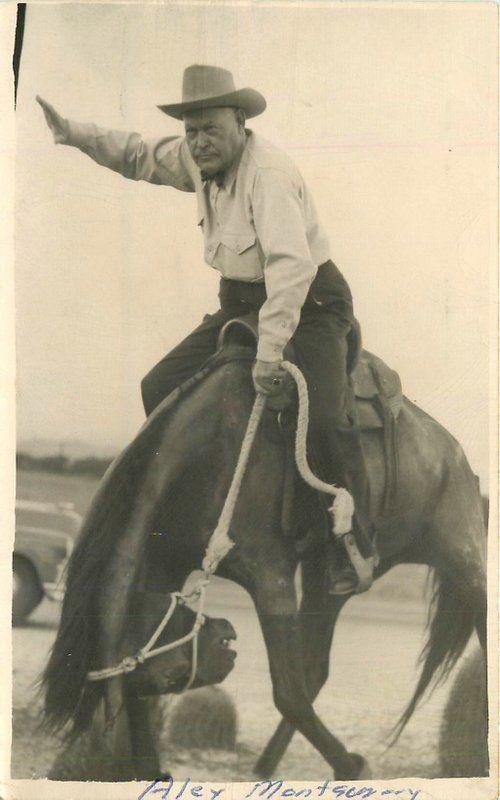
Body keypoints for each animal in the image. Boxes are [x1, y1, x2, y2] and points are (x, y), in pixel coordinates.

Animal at [40, 340, 488, 780]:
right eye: (169, 675)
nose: (226, 637)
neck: (208, 455)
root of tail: (455, 454)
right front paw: (152, 771)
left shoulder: (270, 576)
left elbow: (287, 692)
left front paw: (353, 766)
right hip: (328, 580)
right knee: (316, 667)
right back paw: (267, 764)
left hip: (466, 560)